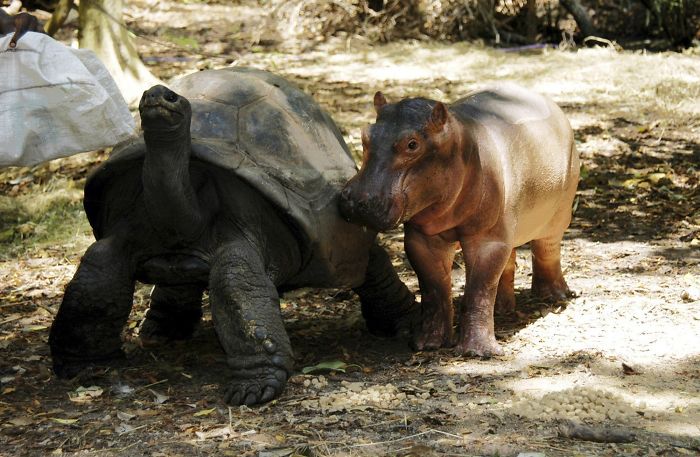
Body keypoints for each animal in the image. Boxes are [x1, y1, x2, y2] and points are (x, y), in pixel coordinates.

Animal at [339, 83, 579, 356]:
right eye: (365, 134)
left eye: (412, 144)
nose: (356, 201)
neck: (460, 142)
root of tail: (551, 104)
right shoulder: (423, 239)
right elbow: (433, 288)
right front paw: (427, 344)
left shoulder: (487, 239)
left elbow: (480, 288)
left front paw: (477, 352)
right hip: (509, 222)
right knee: (508, 259)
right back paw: (502, 309)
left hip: (559, 212)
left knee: (547, 247)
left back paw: (555, 296)